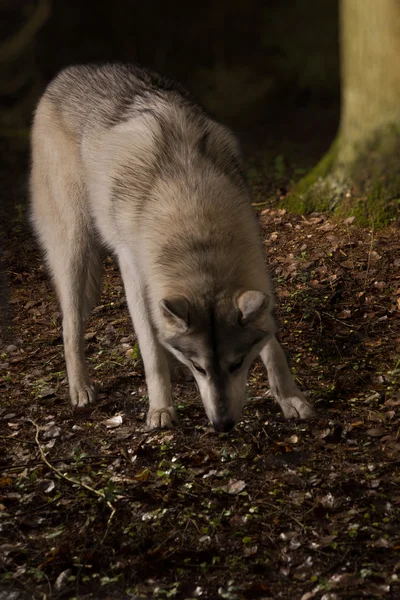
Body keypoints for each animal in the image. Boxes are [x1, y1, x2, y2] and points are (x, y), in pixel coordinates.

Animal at [29, 64, 314, 432]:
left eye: (237, 364)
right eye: (202, 368)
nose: (222, 425)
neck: (196, 222)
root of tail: (70, 71)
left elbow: (273, 346)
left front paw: (290, 397)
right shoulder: (135, 277)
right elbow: (150, 352)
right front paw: (161, 408)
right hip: (76, 250)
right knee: (70, 324)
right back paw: (80, 387)